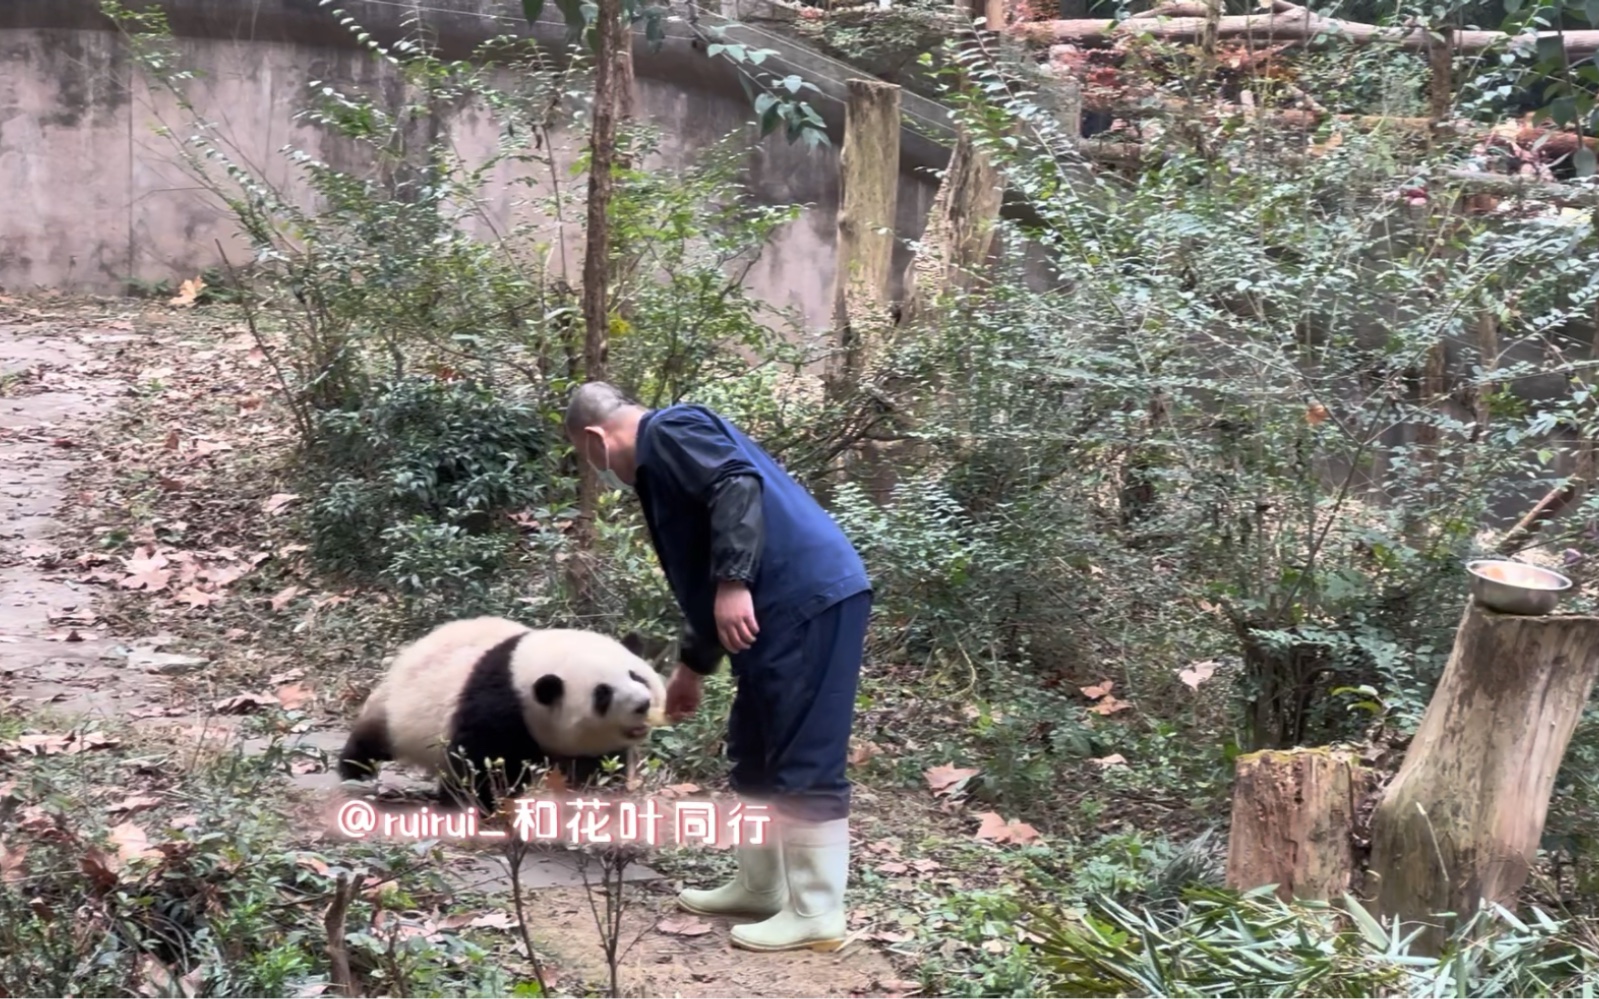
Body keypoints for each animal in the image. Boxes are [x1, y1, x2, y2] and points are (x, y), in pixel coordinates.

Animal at [335, 610, 668, 815]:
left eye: (636, 676)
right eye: (602, 694)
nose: (642, 704)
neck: (522, 667)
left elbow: (598, 770)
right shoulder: (499, 707)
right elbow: (481, 763)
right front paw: (474, 807)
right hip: (399, 705)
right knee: (372, 740)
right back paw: (355, 771)